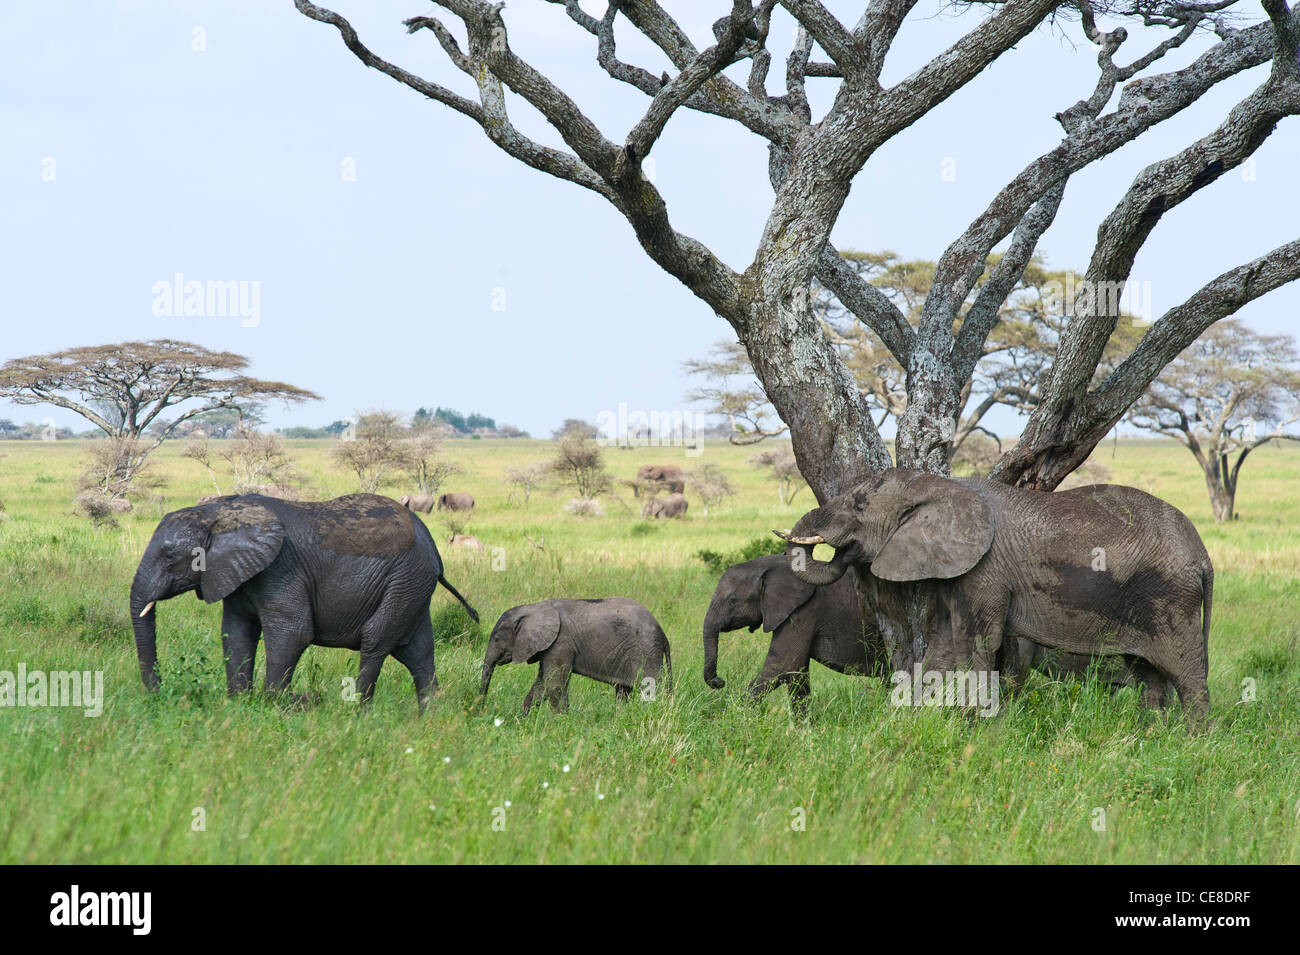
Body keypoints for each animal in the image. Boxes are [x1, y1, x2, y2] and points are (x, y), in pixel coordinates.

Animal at [128, 493, 478, 712]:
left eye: (170, 556)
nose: (160, 694)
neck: (220, 512)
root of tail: (434, 549)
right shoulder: (235, 574)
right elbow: (236, 634)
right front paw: (239, 705)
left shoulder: (281, 568)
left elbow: (292, 634)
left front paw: (284, 705)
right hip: (412, 588)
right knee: (419, 652)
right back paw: (428, 719)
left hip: (404, 581)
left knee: (376, 641)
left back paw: (355, 716)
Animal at [483, 600, 676, 712]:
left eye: (497, 639)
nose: (480, 709)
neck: (534, 608)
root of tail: (663, 634)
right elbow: (542, 683)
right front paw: (524, 720)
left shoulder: (560, 642)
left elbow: (554, 684)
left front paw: (560, 722)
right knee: (623, 691)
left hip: (645, 651)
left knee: (650, 688)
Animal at [702, 553, 894, 712]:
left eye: (732, 600)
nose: (720, 681)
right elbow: (797, 673)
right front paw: (805, 729)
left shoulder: (804, 610)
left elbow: (782, 666)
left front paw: (736, 718)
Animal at [774, 467, 1211, 722]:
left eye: (859, 504)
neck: (942, 484)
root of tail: (1203, 557)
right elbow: (945, 643)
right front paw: (912, 721)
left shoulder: (986, 570)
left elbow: (977, 643)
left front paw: (975, 725)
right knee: (1149, 675)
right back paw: (1149, 736)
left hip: (1171, 600)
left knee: (1187, 676)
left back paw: (1194, 745)